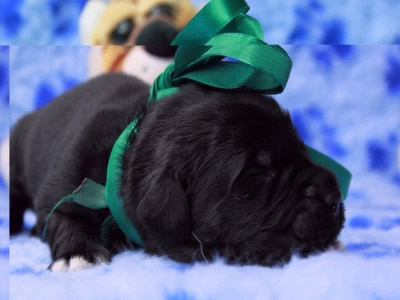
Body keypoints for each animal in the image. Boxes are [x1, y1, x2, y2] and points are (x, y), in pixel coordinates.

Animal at [10, 73, 346, 272]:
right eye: (254, 176)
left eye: (301, 149)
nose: (335, 197)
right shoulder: (65, 186)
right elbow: (63, 217)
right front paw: (79, 256)